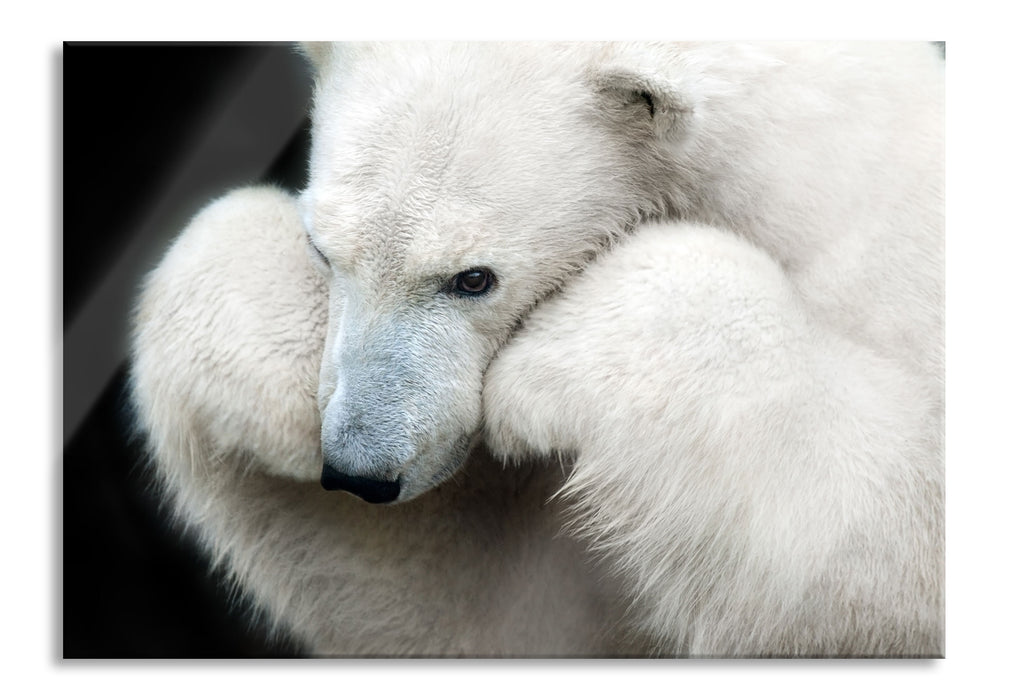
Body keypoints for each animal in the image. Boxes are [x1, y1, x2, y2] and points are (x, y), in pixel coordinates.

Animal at [130, 43, 940, 657]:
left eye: (473, 278)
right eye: (322, 251)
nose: (361, 471)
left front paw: (543, 379)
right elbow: (480, 614)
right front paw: (269, 398)